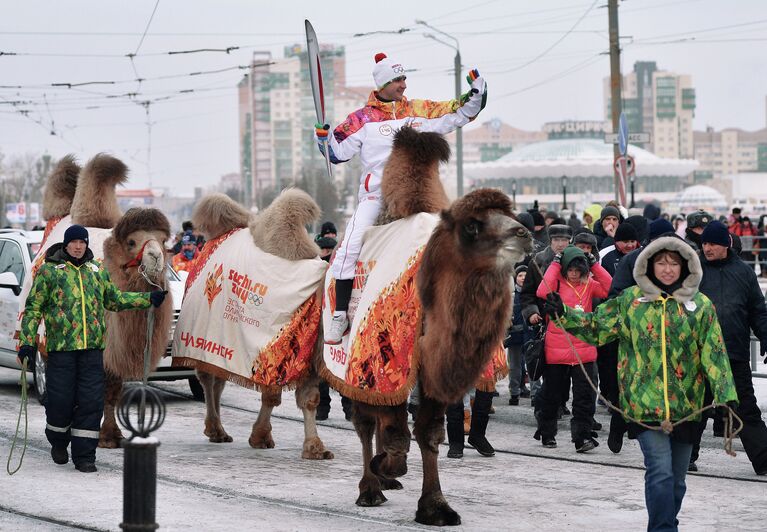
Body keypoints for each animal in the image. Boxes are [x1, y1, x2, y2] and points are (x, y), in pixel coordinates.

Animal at [177, 189, 336, 460]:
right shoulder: (274, 349)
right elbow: (272, 396)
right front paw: (261, 437)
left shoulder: (307, 356)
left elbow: (309, 399)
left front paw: (315, 447)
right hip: (204, 336)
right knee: (208, 378)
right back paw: (215, 430)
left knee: (218, 381)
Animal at [320, 128, 536, 524]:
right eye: (472, 225)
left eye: (509, 213)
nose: (523, 233)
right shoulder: (384, 356)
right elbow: (397, 434)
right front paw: (386, 467)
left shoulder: (434, 368)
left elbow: (430, 433)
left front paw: (435, 506)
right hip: (345, 360)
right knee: (364, 421)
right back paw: (370, 488)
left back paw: (384, 482)